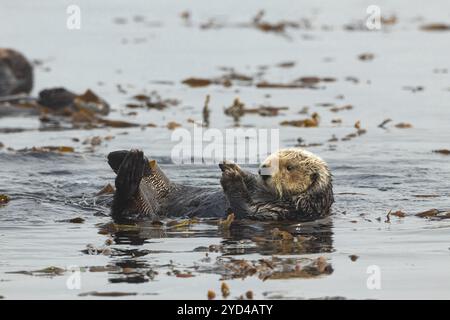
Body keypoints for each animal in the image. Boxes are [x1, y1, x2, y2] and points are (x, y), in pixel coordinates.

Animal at [108, 148, 334, 221]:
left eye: (289, 167)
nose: (263, 169)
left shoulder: (284, 212)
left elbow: (246, 210)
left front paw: (231, 177)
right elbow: (251, 184)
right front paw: (234, 168)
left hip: (141, 210)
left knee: (125, 203)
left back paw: (130, 169)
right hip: (169, 191)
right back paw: (126, 158)